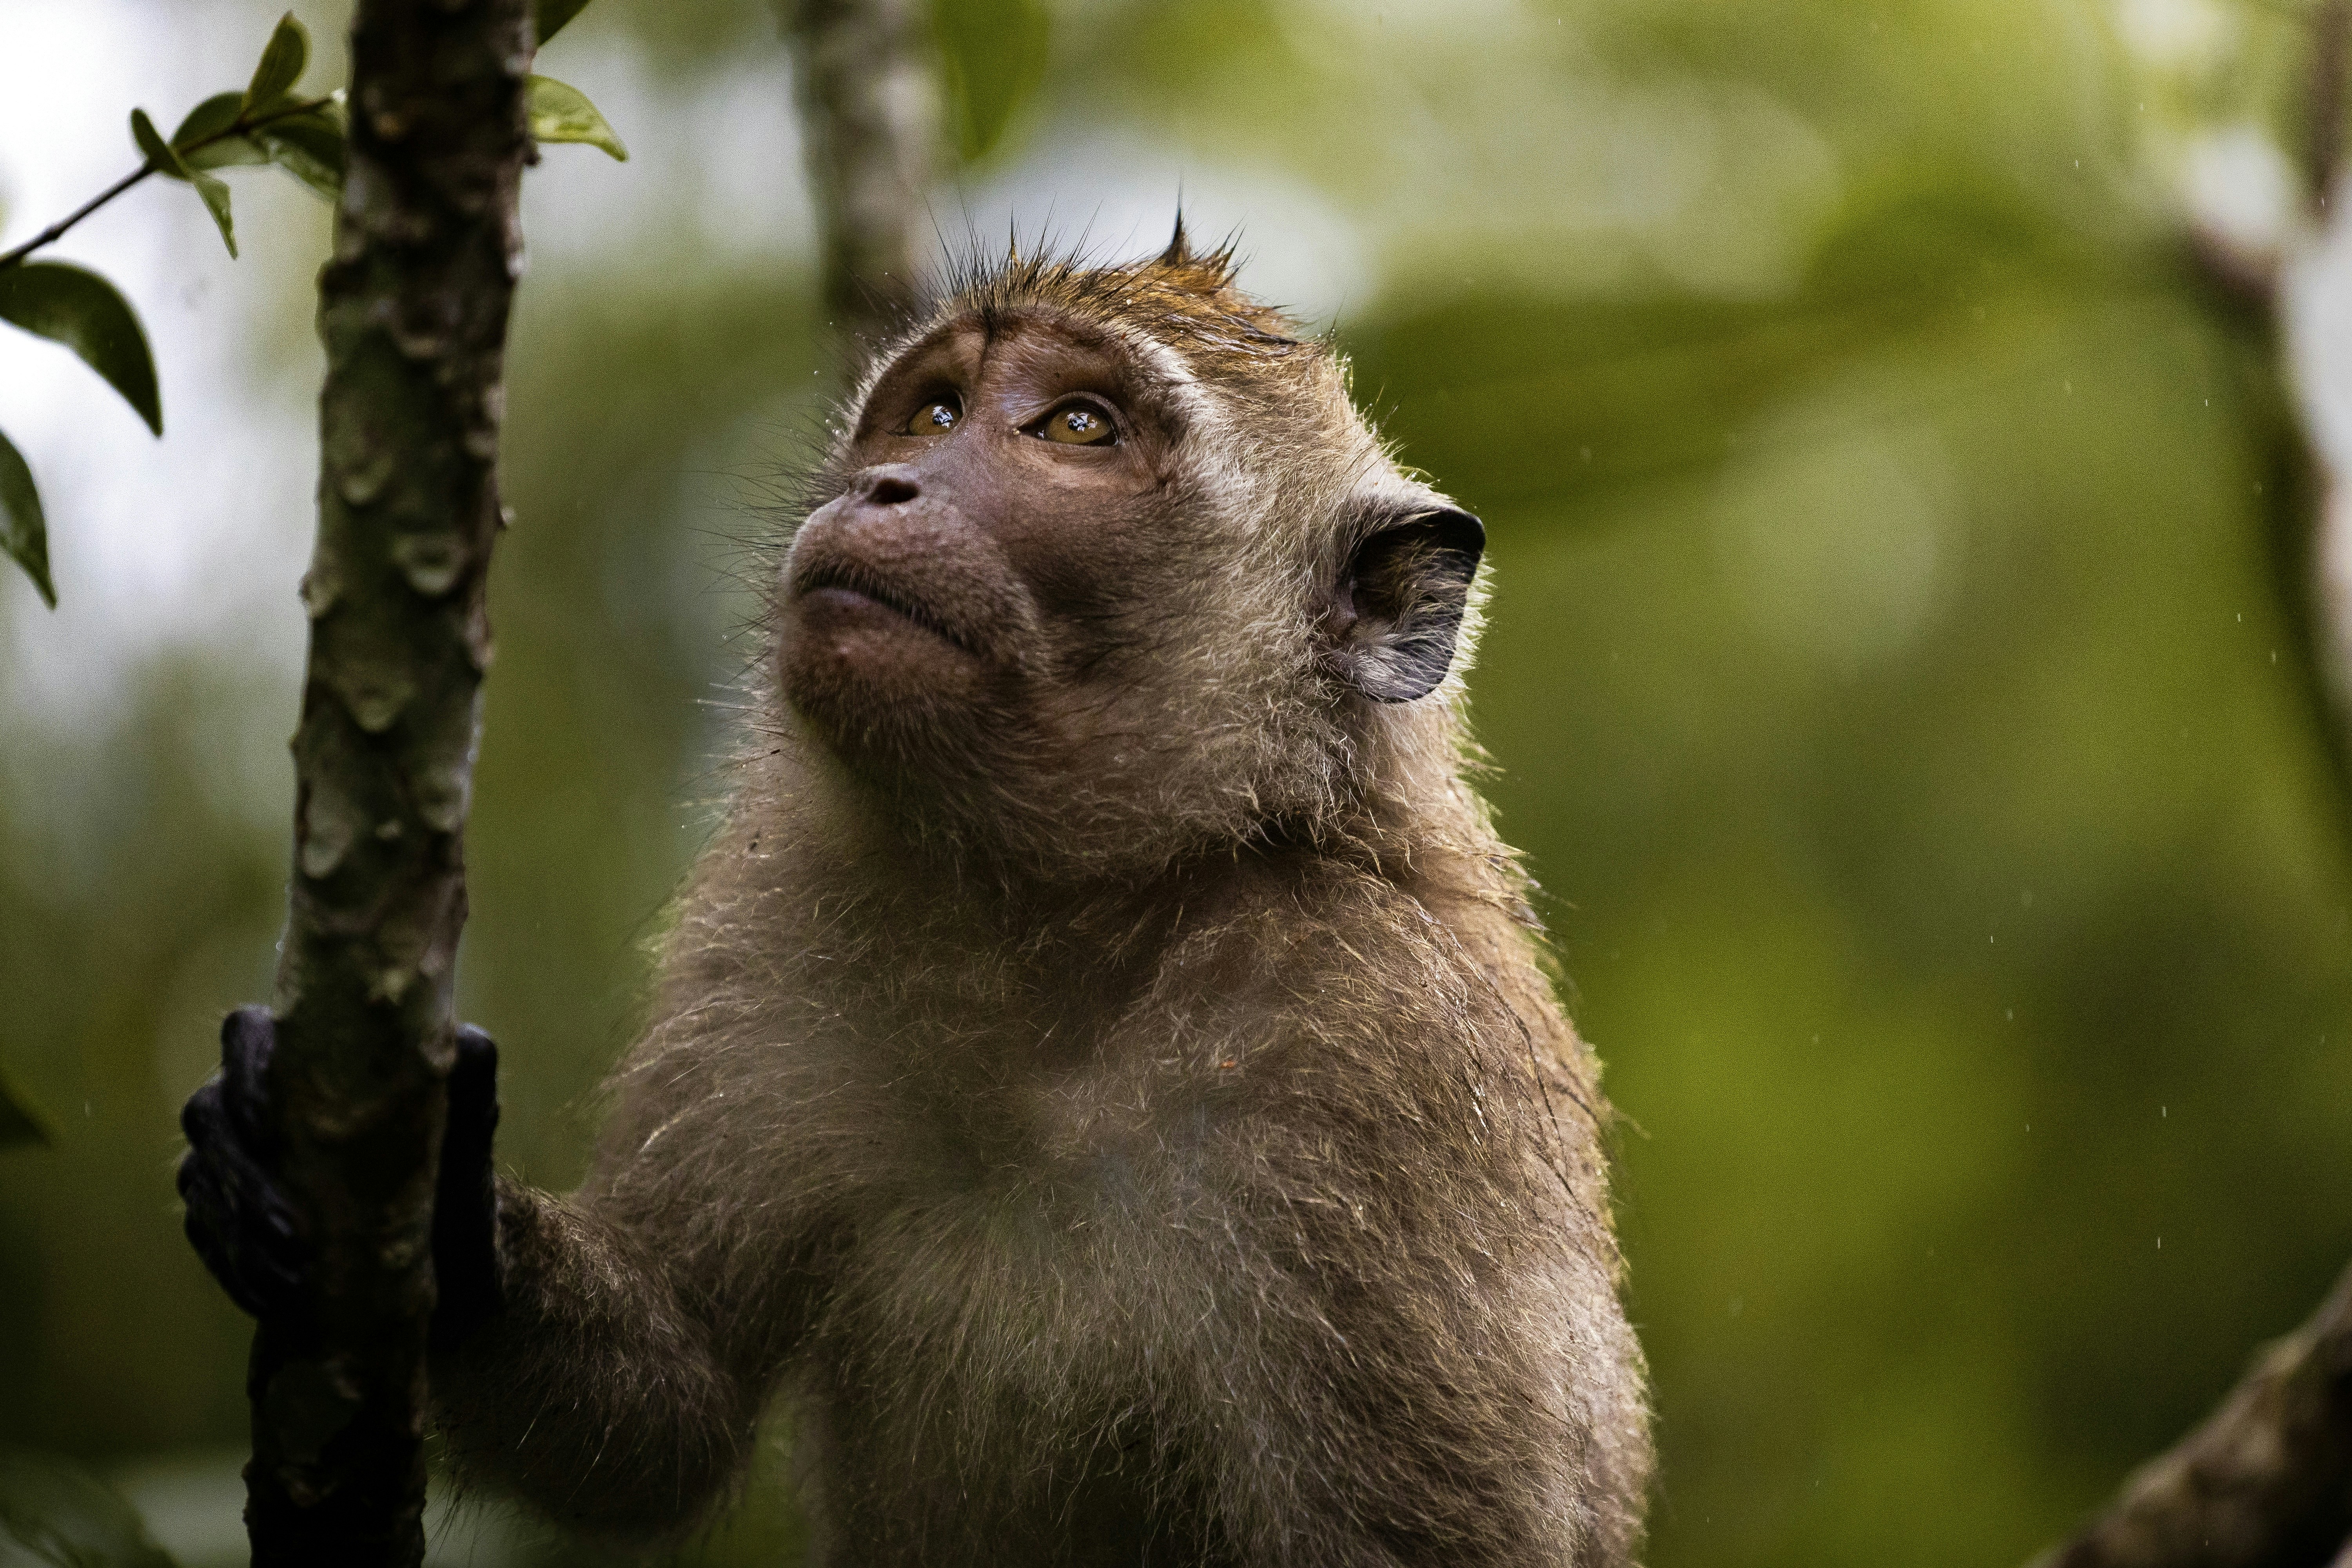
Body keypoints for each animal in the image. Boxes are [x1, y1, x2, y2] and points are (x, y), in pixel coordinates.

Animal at [178, 226, 1652, 1566]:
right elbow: (664, 1411)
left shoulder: (1390, 1051)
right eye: (937, 410)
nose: (889, 485)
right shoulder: (778, 925)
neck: (1070, 929)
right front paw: (435, 1208)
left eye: (1076, 425)